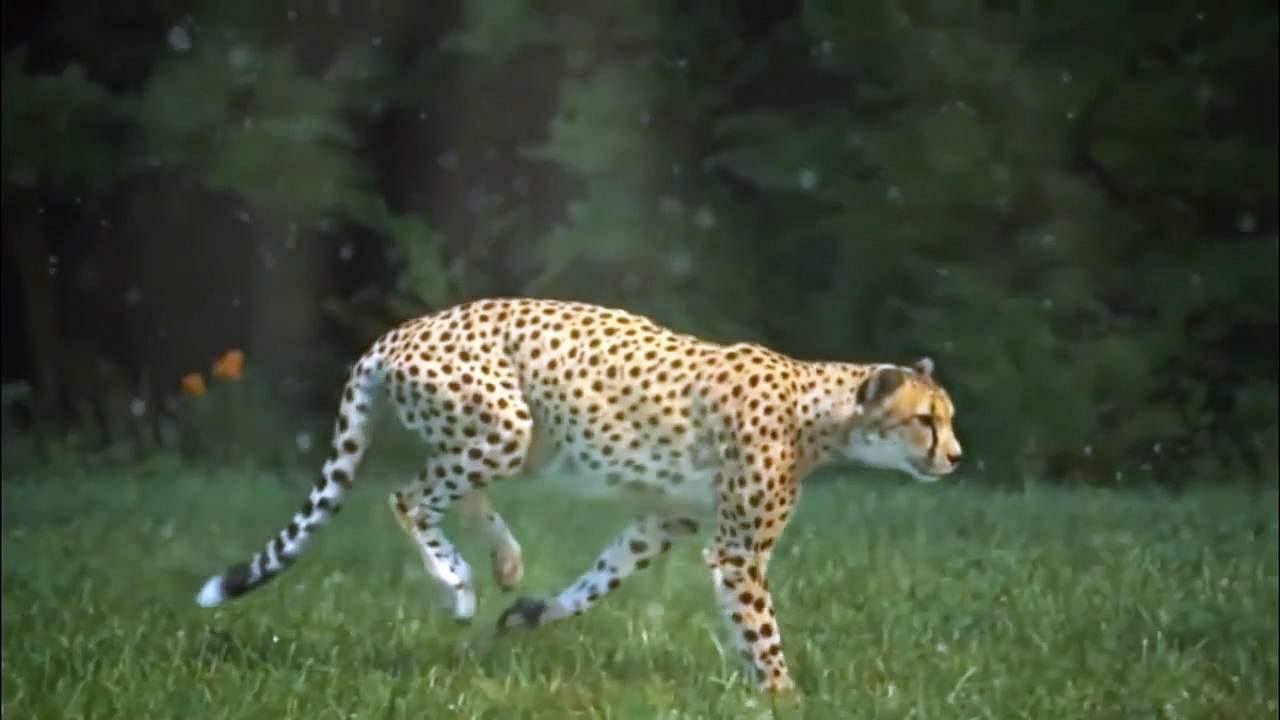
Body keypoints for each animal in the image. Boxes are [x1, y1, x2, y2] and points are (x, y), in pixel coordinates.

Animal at [194, 297, 962, 692]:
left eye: (946, 417)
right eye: (926, 420)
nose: (954, 457)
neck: (820, 412)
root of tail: (395, 333)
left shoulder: (662, 521)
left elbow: (601, 580)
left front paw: (533, 613)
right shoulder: (738, 551)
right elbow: (762, 633)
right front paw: (785, 698)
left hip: (519, 438)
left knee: (453, 491)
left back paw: (502, 562)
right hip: (504, 425)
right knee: (407, 497)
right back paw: (456, 583)